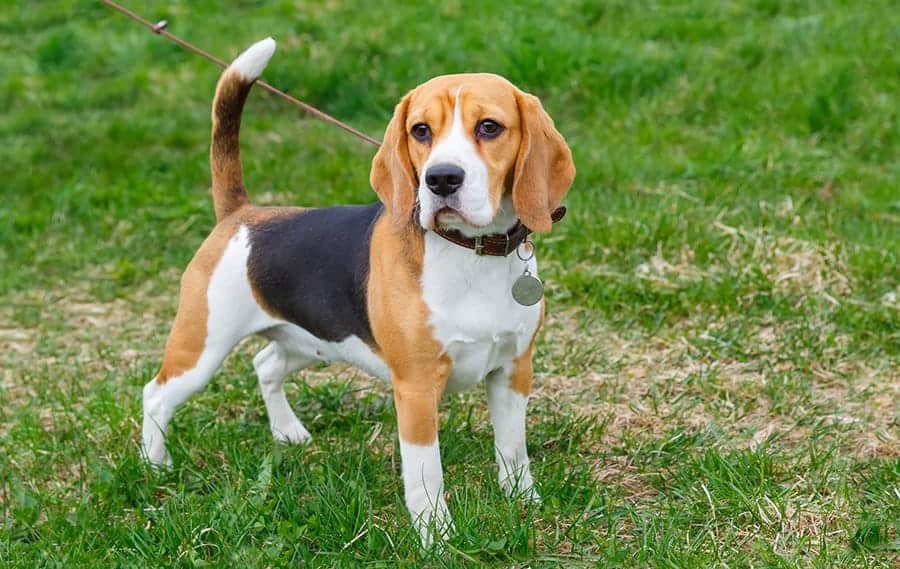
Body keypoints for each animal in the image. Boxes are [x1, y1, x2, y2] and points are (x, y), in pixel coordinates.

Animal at [141, 37, 576, 544]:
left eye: (489, 127)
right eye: (420, 130)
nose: (441, 179)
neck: (470, 254)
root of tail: (241, 214)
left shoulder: (513, 369)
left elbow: (512, 448)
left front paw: (523, 501)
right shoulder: (416, 388)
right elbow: (426, 473)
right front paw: (435, 536)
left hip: (311, 340)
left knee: (265, 364)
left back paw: (288, 432)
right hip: (202, 347)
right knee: (156, 394)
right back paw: (155, 466)